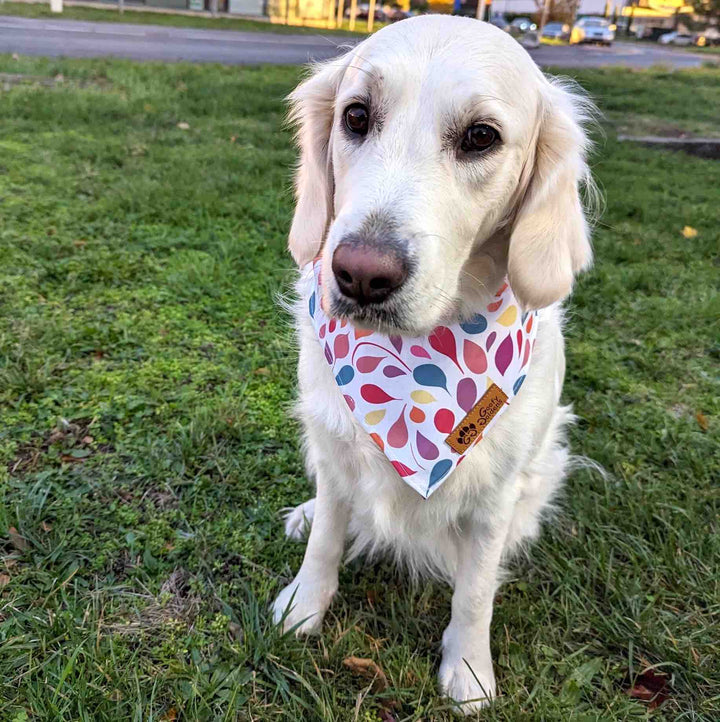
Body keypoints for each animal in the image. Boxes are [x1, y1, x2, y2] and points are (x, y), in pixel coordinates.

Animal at [272, 14, 596, 712]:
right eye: (356, 116)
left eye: (481, 137)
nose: (361, 275)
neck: (410, 372)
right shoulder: (335, 449)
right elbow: (327, 537)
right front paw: (303, 608)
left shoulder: (495, 493)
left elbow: (474, 594)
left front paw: (469, 671)